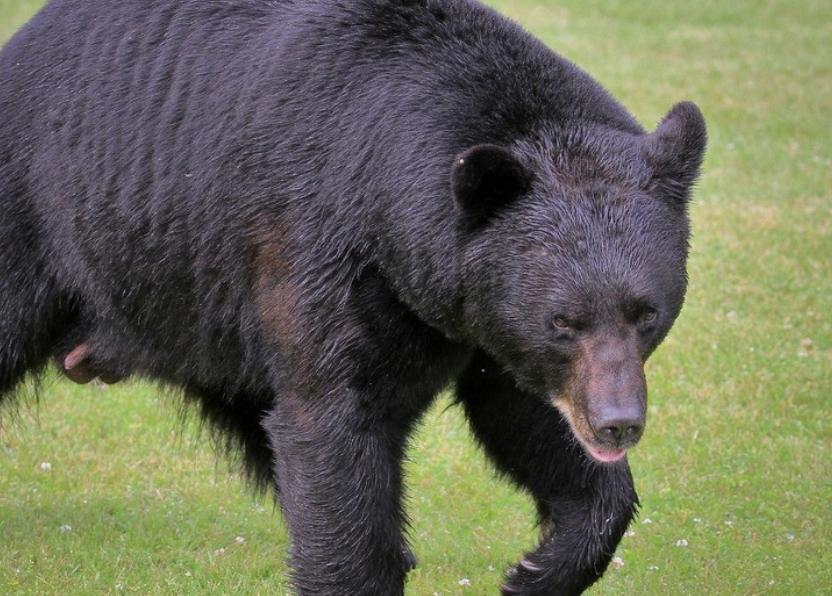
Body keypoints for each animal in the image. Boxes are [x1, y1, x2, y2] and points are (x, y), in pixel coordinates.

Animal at [0, 0, 704, 592]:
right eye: (563, 320)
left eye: (646, 314)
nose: (617, 423)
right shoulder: (321, 243)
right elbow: (333, 421)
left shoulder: (479, 317)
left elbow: (523, 415)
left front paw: (538, 569)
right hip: (41, 218)